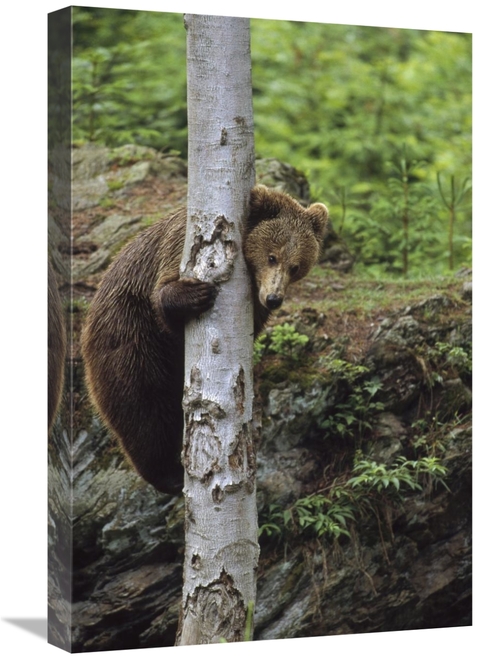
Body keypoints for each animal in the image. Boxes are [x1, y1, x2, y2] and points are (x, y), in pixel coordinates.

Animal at [81, 185, 328, 493]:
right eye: (272, 256)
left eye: (296, 266)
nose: (274, 298)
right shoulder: (180, 250)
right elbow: (165, 298)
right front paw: (195, 294)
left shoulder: (256, 307)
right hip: (129, 335)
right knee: (142, 405)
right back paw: (168, 475)